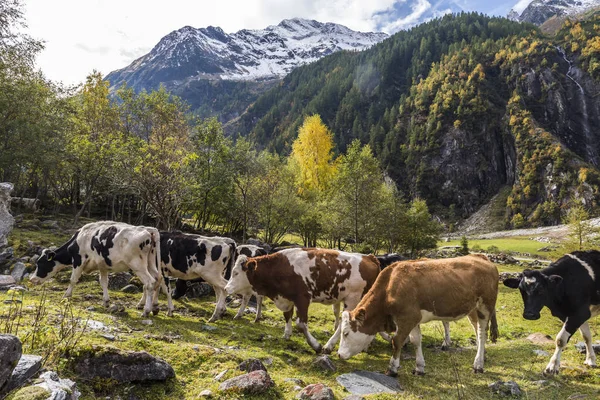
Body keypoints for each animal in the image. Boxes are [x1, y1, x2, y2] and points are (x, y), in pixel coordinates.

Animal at [30, 220, 162, 318]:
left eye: (40, 263)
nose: (32, 279)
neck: (78, 239)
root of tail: (147, 230)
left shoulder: (78, 261)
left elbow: (73, 280)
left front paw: (66, 296)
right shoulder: (102, 265)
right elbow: (104, 282)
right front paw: (106, 302)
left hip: (137, 265)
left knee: (149, 282)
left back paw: (146, 310)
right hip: (150, 263)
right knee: (157, 279)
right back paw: (153, 306)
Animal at [225, 247, 380, 354]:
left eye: (236, 273)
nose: (226, 288)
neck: (280, 268)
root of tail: (369, 257)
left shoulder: (303, 298)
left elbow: (301, 324)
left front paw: (316, 345)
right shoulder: (286, 298)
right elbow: (287, 316)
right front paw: (287, 334)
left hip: (353, 298)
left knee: (344, 322)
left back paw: (328, 346)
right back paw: (366, 346)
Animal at [340, 255, 500, 376]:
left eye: (346, 333)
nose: (339, 354)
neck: (390, 286)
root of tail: (480, 257)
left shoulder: (407, 318)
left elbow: (397, 341)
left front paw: (392, 368)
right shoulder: (413, 318)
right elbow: (416, 340)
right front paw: (419, 367)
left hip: (485, 306)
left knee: (482, 332)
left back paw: (478, 364)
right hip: (473, 309)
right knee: (477, 329)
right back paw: (482, 355)